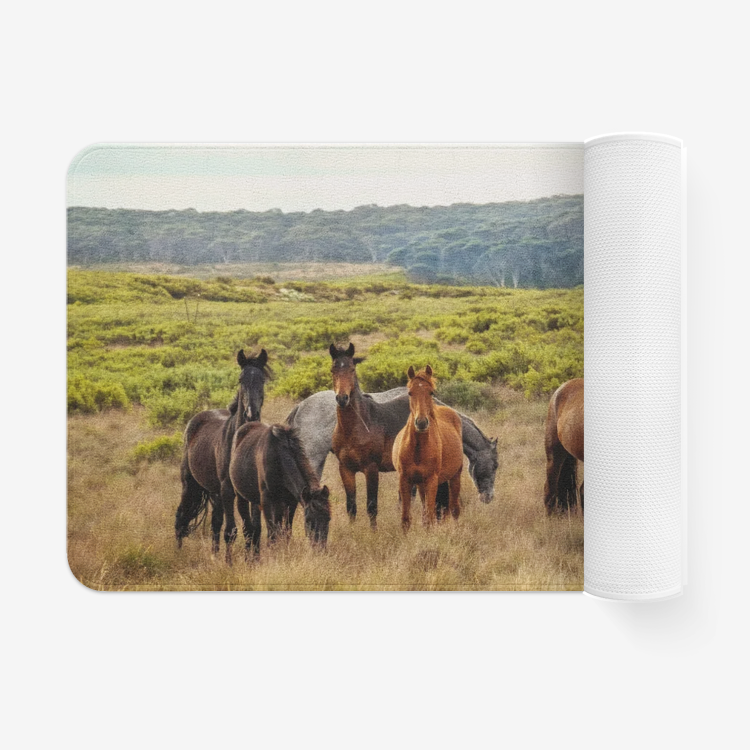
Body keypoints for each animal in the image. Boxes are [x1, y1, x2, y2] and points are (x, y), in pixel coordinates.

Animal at [174, 348, 271, 562]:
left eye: (262, 379)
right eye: (241, 379)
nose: (251, 414)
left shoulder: (251, 492)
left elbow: (254, 528)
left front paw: (253, 560)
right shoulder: (228, 489)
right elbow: (232, 530)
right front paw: (230, 564)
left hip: (214, 492)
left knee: (215, 523)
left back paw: (214, 555)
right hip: (191, 485)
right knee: (181, 516)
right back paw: (178, 552)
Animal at [230, 423, 331, 555]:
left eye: (328, 519)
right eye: (309, 521)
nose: (320, 549)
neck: (279, 458)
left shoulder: (291, 501)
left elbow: (286, 530)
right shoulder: (267, 500)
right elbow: (271, 531)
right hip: (241, 497)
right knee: (248, 529)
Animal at [392, 366, 463, 530]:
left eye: (431, 392)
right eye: (410, 392)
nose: (421, 422)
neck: (417, 449)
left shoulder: (431, 481)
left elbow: (429, 518)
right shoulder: (405, 480)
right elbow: (406, 519)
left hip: (455, 477)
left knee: (455, 509)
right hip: (420, 484)